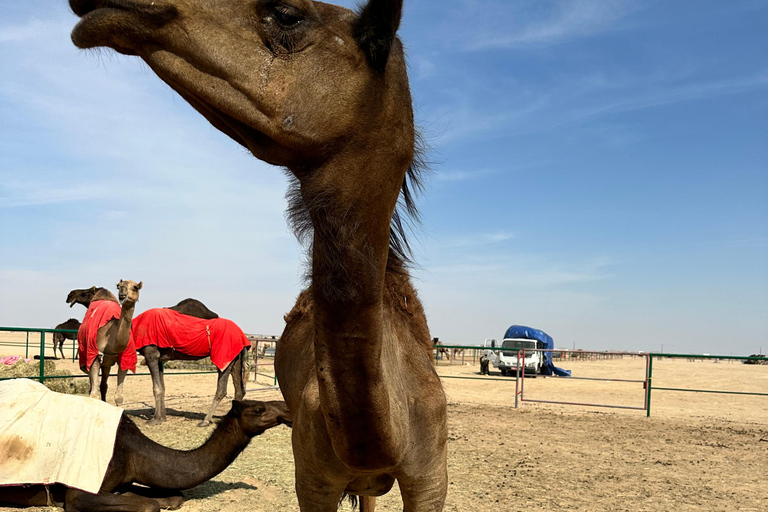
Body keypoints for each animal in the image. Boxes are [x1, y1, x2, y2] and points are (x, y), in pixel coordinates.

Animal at [0, 392, 290, 512]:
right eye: (259, 409)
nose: (287, 408)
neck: (132, 451)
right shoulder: (81, 491)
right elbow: (151, 505)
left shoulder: (125, 477)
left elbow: (174, 497)